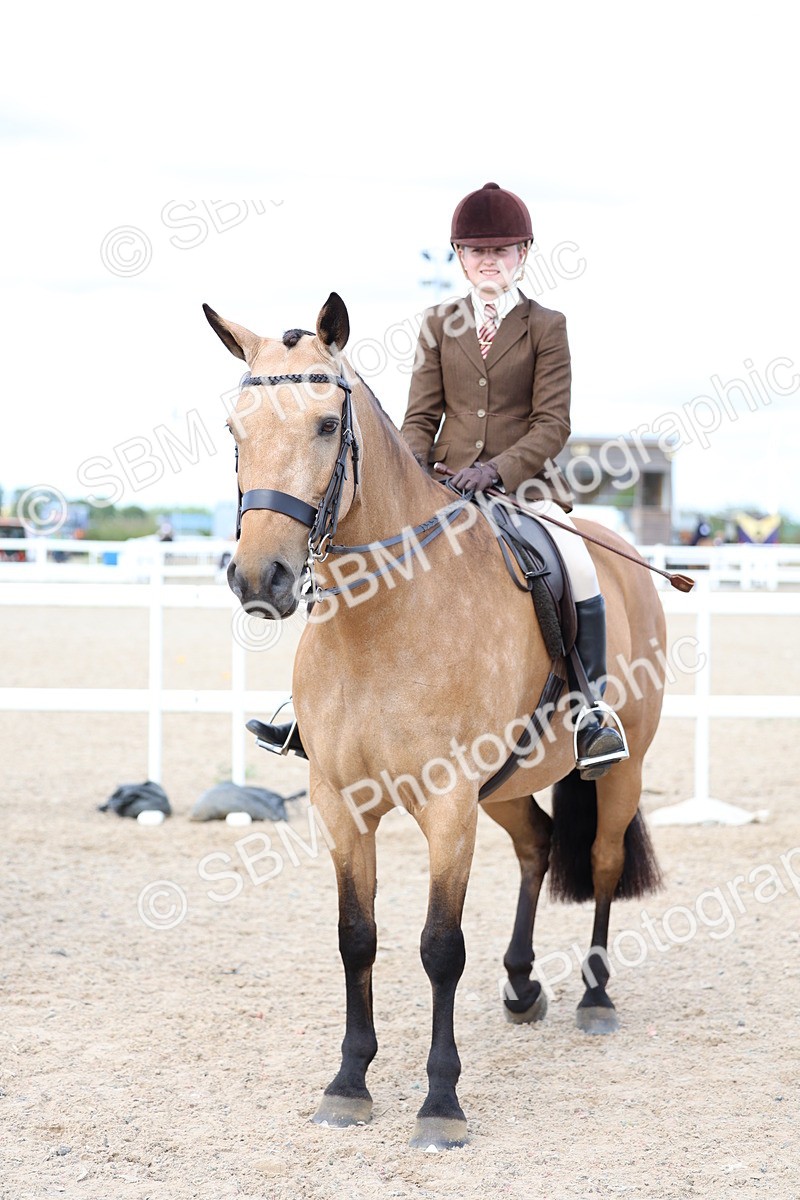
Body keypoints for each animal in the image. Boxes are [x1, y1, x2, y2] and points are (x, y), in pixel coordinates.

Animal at [204, 292, 665, 1150]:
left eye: (327, 424)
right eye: (234, 429)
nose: (260, 579)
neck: (380, 624)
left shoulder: (449, 805)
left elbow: (439, 947)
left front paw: (441, 1102)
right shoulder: (343, 804)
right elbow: (357, 937)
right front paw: (349, 1083)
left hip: (619, 768)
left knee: (604, 862)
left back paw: (594, 998)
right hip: (505, 785)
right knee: (539, 844)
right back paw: (521, 987)